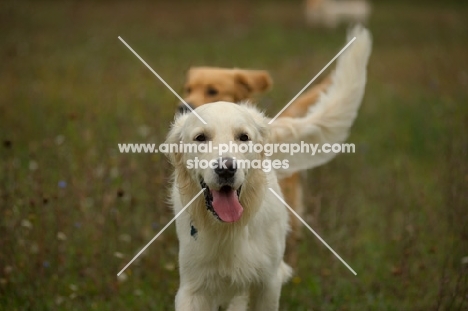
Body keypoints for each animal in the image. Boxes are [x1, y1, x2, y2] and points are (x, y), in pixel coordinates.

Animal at [166, 26, 372, 311]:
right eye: (200, 137)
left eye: (243, 137)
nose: (226, 169)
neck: (230, 230)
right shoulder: (193, 289)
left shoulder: (267, 283)